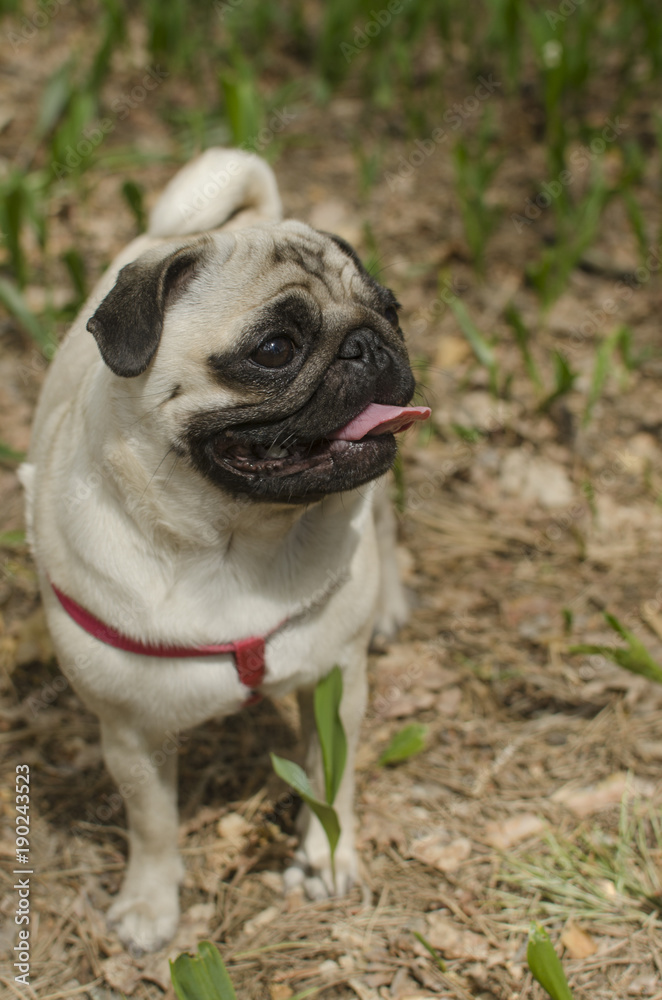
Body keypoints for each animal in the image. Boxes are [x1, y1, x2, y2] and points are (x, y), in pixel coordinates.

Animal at [20, 148, 430, 952]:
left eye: (391, 310)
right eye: (274, 350)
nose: (369, 343)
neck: (235, 540)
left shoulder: (334, 683)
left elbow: (331, 780)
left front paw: (326, 857)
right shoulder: (130, 731)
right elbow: (152, 825)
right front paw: (150, 904)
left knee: (386, 523)